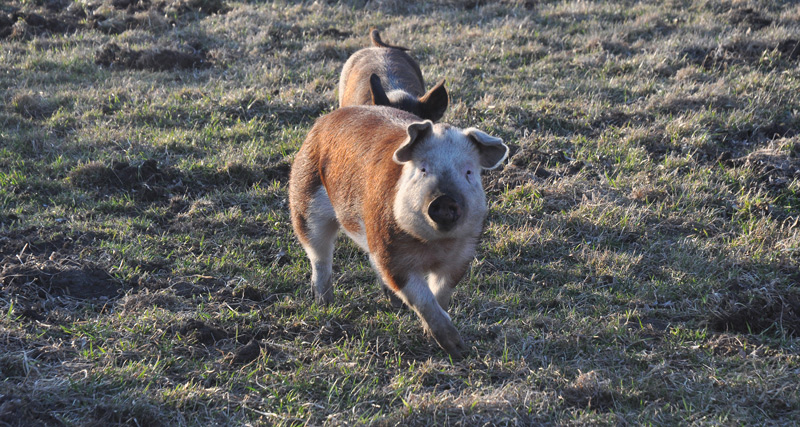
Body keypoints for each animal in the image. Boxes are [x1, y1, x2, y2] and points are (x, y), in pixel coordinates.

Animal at [288, 105, 508, 359]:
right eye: (423, 169)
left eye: (469, 172)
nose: (444, 200)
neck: (433, 245)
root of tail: (325, 119)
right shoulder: (392, 255)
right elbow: (422, 298)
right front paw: (456, 347)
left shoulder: (462, 256)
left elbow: (440, 294)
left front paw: (450, 346)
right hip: (304, 200)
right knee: (319, 256)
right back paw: (325, 303)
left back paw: (394, 304)